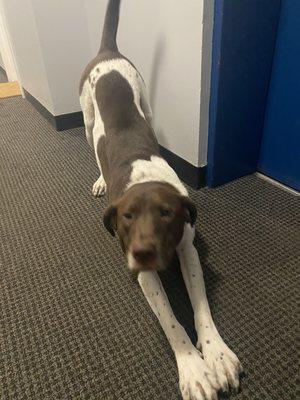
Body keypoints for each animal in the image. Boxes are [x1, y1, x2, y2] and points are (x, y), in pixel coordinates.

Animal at [79, 1, 241, 398]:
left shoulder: (187, 248)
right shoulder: (144, 273)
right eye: (126, 217)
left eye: (167, 213)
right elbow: (171, 320)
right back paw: (100, 178)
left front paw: (215, 352)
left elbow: (200, 306)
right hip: (88, 121)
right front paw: (193, 366)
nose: (142, 252)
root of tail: (108, 53)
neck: (144, 174)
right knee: (92, 142)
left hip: (145, 101)